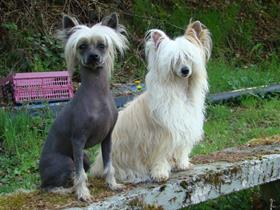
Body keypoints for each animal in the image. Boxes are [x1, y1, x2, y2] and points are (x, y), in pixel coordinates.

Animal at [91, 20, 211, 183]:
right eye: (174, 60)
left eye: (188, 57)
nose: (185, 70)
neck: (179, 89)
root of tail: (97, 165)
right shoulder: (160, 138)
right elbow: (159, 157)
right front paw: (160, 173)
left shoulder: (182, 128)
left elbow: (181, 150)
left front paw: (182, 164)